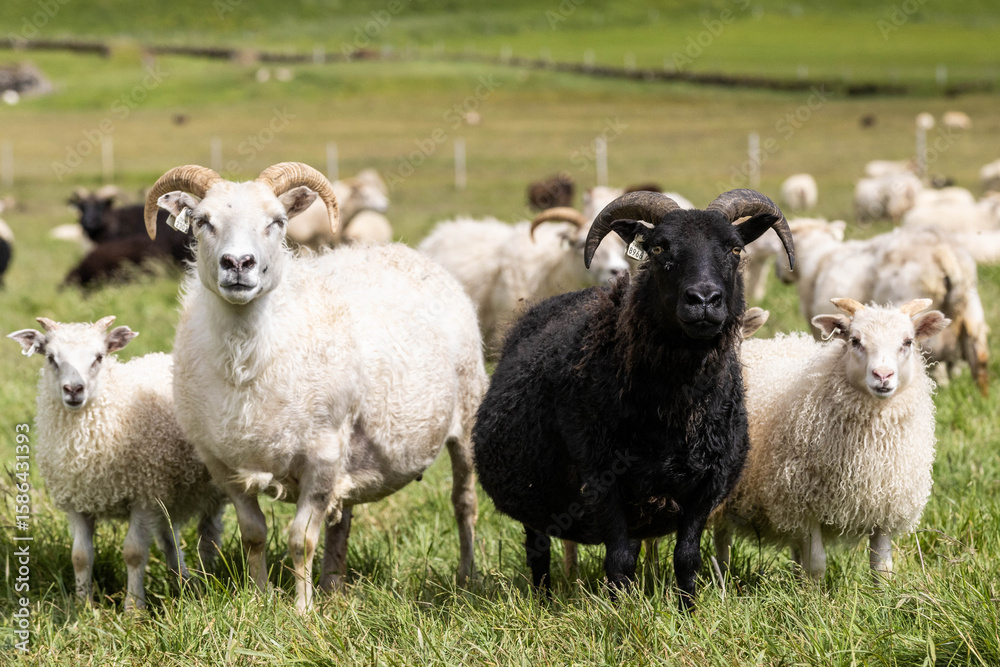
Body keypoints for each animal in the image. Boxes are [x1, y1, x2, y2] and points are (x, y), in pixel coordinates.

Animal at [7, 316, 226, 611]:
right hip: (167, 493)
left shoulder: (144, 495)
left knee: (208, 535)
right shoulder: (78, 501)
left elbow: (134, 553)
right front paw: (83, 606)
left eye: (99, 357)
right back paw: (182, 580)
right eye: (51, 358)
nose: (74, 390)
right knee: (169, 537)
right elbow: (80, 556)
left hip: (210, 488)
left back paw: (207, 578)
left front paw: (133, 608)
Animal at [144, 162, 486, 612]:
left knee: (464, 503)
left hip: (467, 417)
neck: (247, 357)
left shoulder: (322, 456)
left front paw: (302, 612)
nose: (238, 263)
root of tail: (403, 250)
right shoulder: (225, 466)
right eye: (203, 221)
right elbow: (254, 535)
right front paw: (260, 600)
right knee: (345, 516)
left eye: (277, 221)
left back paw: (467, 576)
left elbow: (300, 540)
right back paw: (333, 585)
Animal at [472, 189, 795, 609]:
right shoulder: (602, 479)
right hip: (535, 498)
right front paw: (622, 612)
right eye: (658, 248)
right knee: (538, 551)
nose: (704, 299)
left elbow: (686, 557)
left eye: (735, 249)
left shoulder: (706, 485)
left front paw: (688, 611)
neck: (676, 407)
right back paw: (543, 600)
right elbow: (619, 558)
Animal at [715, 298, 950, 581]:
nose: (883, 375)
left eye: (908, 342)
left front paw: (883, 595)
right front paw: (814, 593)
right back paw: (722, 577)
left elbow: (882, 569)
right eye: (855, 340)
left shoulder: (884, 504)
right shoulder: (803, 504)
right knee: (722, 537)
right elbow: (817, 564)